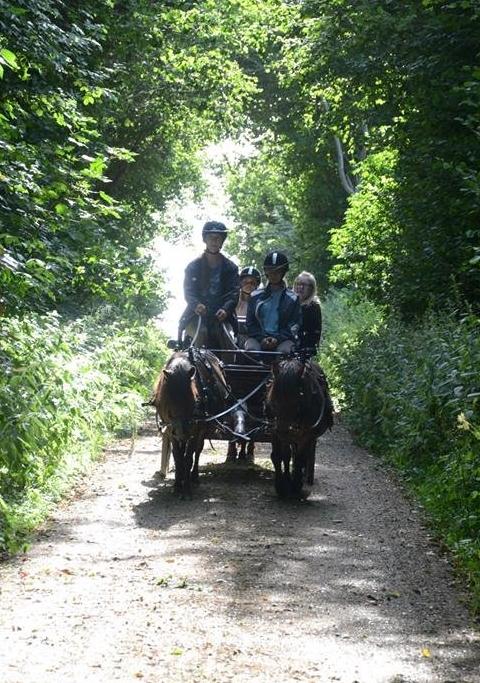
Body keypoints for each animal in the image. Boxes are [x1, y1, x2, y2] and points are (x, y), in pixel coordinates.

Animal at [264, 358, 332, 496]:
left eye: (297, 401)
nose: (283, 430)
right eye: (273, 401)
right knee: (289, 454)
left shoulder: (306, 436)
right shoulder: (275, 432)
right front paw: (281, 486)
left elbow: (300, 459)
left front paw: (295, 486)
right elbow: (279, 456)